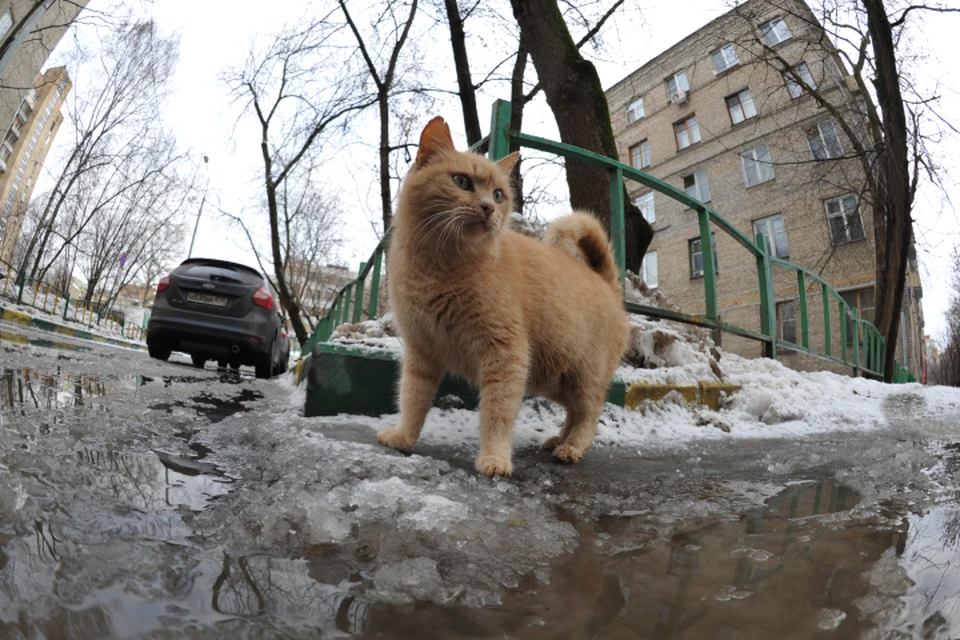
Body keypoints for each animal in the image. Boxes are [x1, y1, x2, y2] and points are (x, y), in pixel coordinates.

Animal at [376, 116, 632, 476]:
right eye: (461, 181)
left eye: (498, 195)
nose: (487, 207)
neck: (439, 266)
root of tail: (607, 283)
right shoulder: (421, 352)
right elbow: (412, 399)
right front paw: (403, 437)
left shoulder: (504, 353)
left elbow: (497, 413)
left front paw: (495, 458)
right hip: (554, 379)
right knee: (574, 411)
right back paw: (558, 439)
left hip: (584, 375)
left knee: (590, 412)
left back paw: (571, 448)